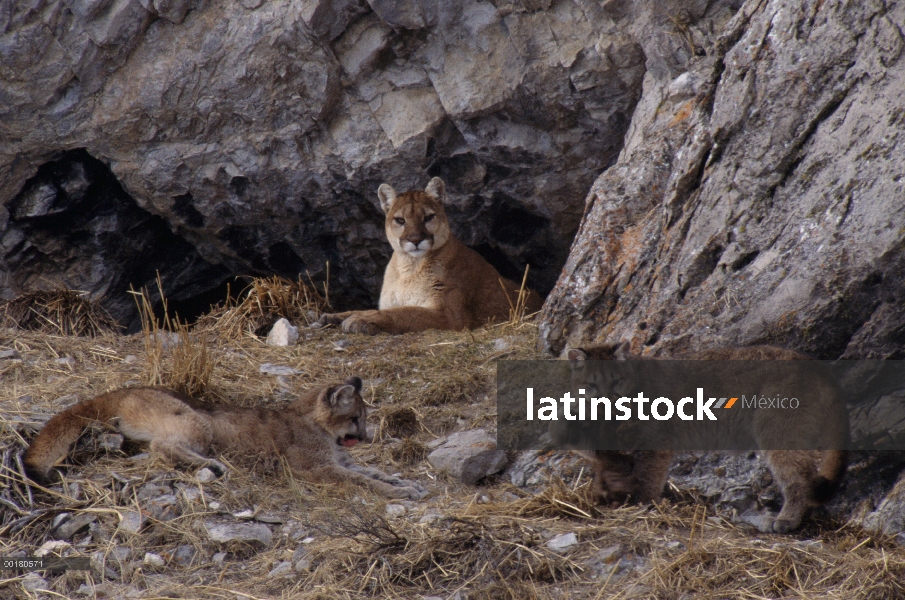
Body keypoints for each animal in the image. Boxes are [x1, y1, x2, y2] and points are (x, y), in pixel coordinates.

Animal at [23, 378, 428, 500]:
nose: (366, 436)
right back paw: (212, 465)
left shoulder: (339, 460)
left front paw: (403, 482)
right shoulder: (318, 468)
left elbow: (370, 473)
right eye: (356, 418)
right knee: (163, 446)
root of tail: (124, 389)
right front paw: (398, 492)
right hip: (196, 421)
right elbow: (361, 480)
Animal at [316, 178, 540, 338]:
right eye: (400, 220)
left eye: (428, 217)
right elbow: (367, 309)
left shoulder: (449, 315)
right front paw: (333, 316)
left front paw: (361, 320)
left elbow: (403, 313)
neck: (409, 267)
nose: (415, 240)